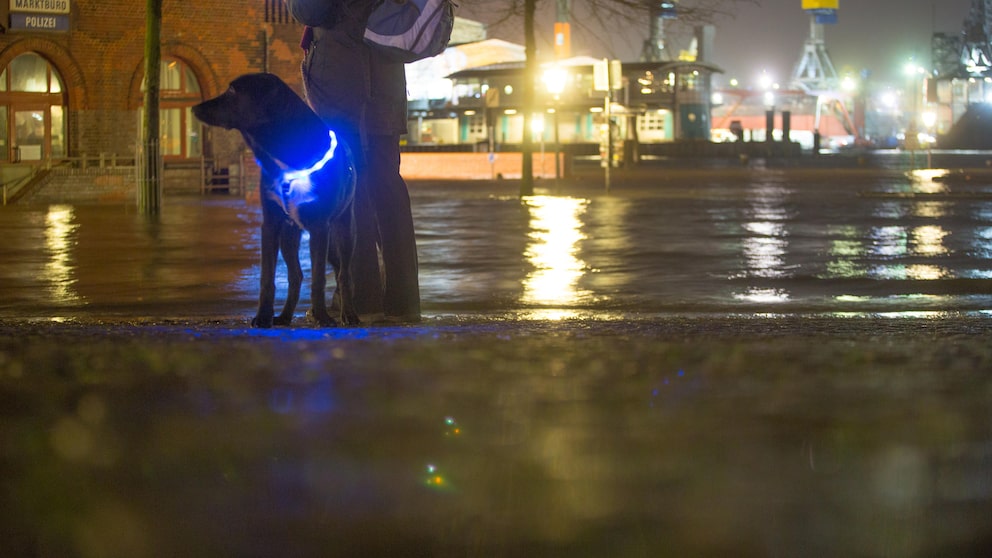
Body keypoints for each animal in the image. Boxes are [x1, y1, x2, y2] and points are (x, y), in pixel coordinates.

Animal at [192, 73, 358, 328]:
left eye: (232, 91)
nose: (194, 107)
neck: (284, 152)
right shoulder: (270, 224)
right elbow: (267, 278)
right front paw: (263, 316)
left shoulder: (320, 227)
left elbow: (319, 278)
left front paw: (322, 317)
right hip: (289, 234)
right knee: (296, 275)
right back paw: (285, 316)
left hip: (344, 228)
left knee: (344, 273)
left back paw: (348, 314)